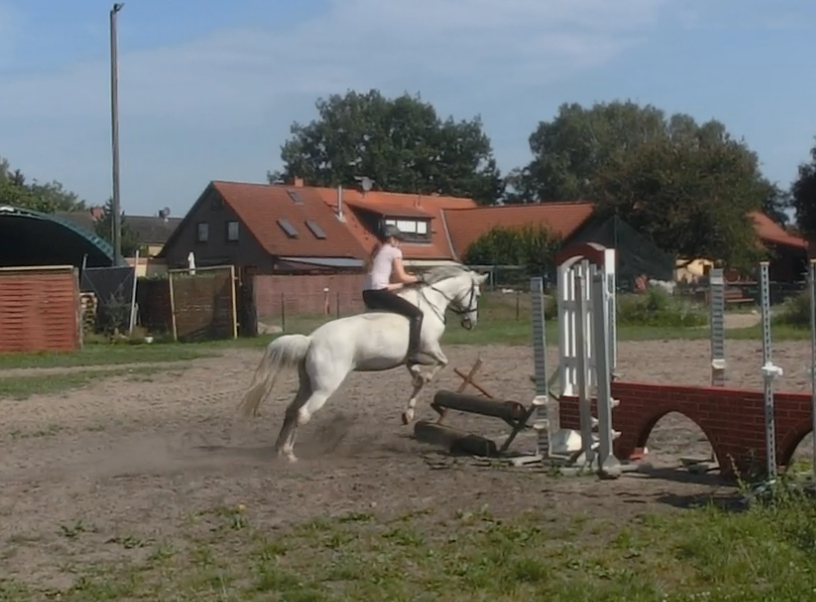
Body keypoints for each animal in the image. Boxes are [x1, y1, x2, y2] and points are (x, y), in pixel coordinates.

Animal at [235, 264, 489, 462]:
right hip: (324, 388)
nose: (471, 322)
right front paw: (422, 388)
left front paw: (408, 414)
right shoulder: (429, 349)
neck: (430, 304)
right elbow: (439, 366)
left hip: (306, 384)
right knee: (302, 414)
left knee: (291, 411)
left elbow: (417, 380)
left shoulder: (410, 359)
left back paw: (279, 450)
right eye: (476, 294)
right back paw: (289, 454)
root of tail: (311, 340)